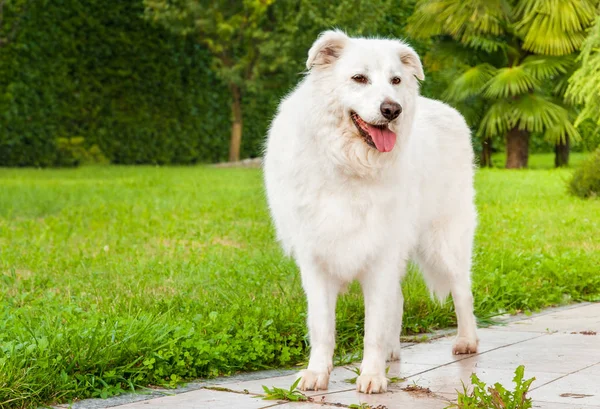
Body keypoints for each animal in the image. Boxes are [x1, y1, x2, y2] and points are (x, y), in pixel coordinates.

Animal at [262, 30, 478, 394]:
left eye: (396, 80)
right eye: (359, 78)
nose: (392, 109)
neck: (348, 164)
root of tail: (448, 110)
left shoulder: (381, 255)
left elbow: (373, 327)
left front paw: (372, 376)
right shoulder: (316, 259)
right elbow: (322, 326)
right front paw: (316, 373)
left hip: (444, 242)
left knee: (462, 291)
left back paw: (467, 341)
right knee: (400, 298)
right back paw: (393, 352)